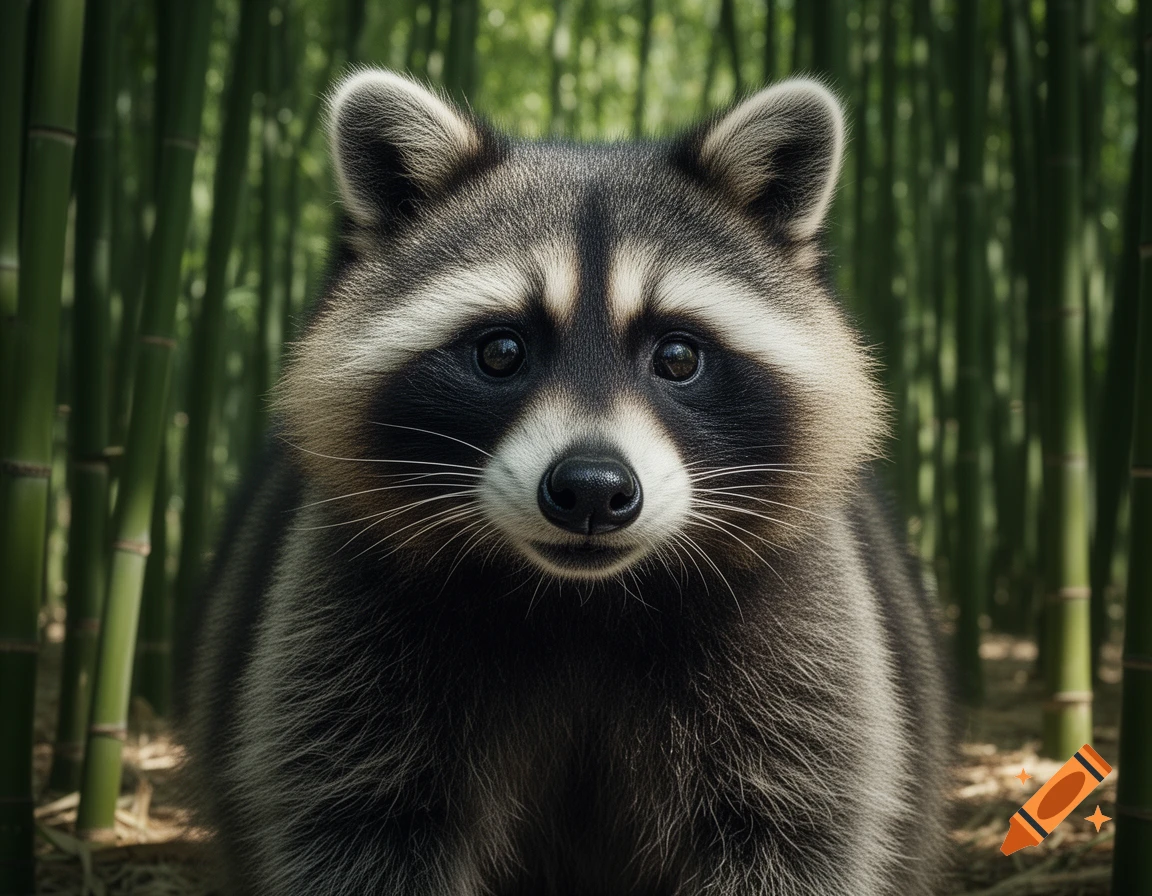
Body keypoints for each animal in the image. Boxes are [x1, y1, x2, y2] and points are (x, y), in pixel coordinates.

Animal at [181, 69, 950, 895]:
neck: (582, 600)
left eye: (678, 356)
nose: (590, 489)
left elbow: (793, 825)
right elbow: (356, 822)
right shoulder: (345, 622)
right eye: (500, 351)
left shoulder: (800, 633)